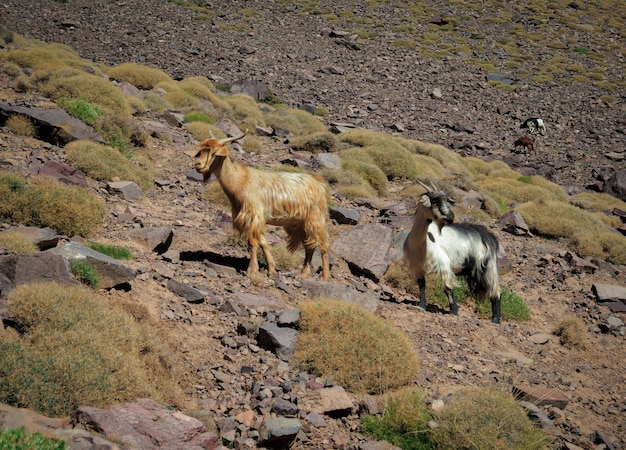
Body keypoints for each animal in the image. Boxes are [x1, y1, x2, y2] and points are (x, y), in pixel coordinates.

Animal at [194, 130, 332, 280]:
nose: (198, 164)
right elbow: (263, 241)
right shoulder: (253, 218)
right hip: (301, 223)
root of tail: (319, 185)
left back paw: (325, 276)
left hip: (316, 219)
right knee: (309, 246)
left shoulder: (253, 215)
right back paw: (303, 274)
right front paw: (271, 269)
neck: (241, 180)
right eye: (202, 151)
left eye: (214, 153)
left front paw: (252, 270)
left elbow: (252, 242)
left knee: (323, 245)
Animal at [402, 182, 500, 324]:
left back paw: (496, 319)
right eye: (435, 200)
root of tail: (488, 235)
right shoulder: (417, 267)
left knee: (495, 290)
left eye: (447, 200)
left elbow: (447, 288)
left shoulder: (444, 264)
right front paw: (421, 305)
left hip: (489, 267)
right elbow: (421, 285)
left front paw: (453, 311)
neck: (420, 243)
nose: (451, 217)